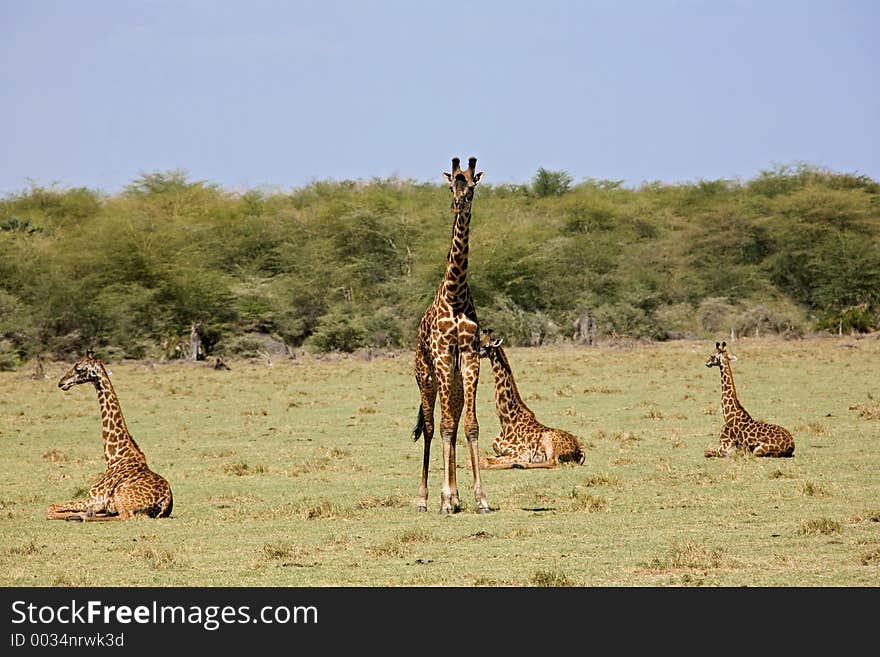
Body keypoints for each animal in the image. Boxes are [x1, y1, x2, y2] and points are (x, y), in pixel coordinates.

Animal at [46, 352, 174, 520]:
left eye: (79, 368)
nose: (61, 383)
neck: (114, 457)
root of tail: (165, 501)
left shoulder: (95, 498)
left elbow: (50, 508)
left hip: (121, 499)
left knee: (123, 516)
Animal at [478, 330, 588, 468]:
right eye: (479, 340)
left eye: (486, 345)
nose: (474, 352)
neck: (506, 421)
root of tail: (579, 449)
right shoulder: (500, 452)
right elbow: (479, 460)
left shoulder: (521, 453)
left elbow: (486, 463)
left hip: (549, 440)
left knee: (552, 461)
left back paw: (521, 465)